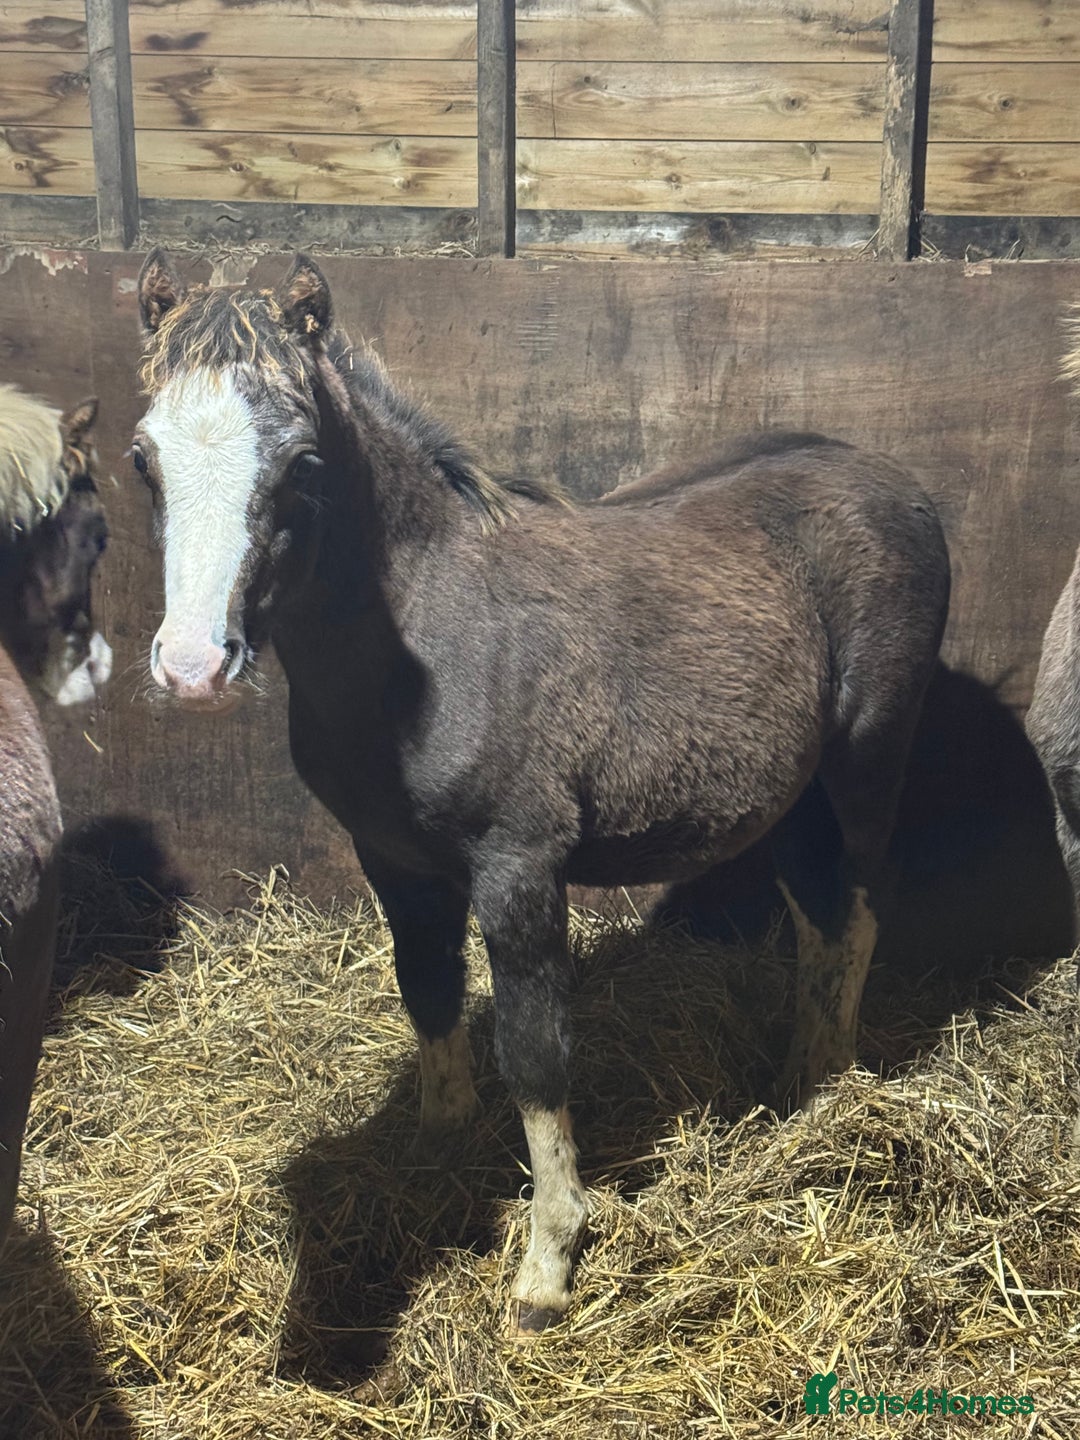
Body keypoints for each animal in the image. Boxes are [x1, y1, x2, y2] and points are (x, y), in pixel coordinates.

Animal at [132, 249, 950, 1335]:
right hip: (795, 797)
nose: (191, 667)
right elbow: (429, 995)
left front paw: (548, 1261)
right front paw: (435, 1155)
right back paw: (794, 1081)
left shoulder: (518, 865)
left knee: (856, 915)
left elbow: (533, 1049)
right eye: (143, 458)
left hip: (864, 763)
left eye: (303, 460)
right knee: (819, 916)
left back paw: (826, 1093)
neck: (428, 634)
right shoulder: (393, 860)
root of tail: (895, 480)